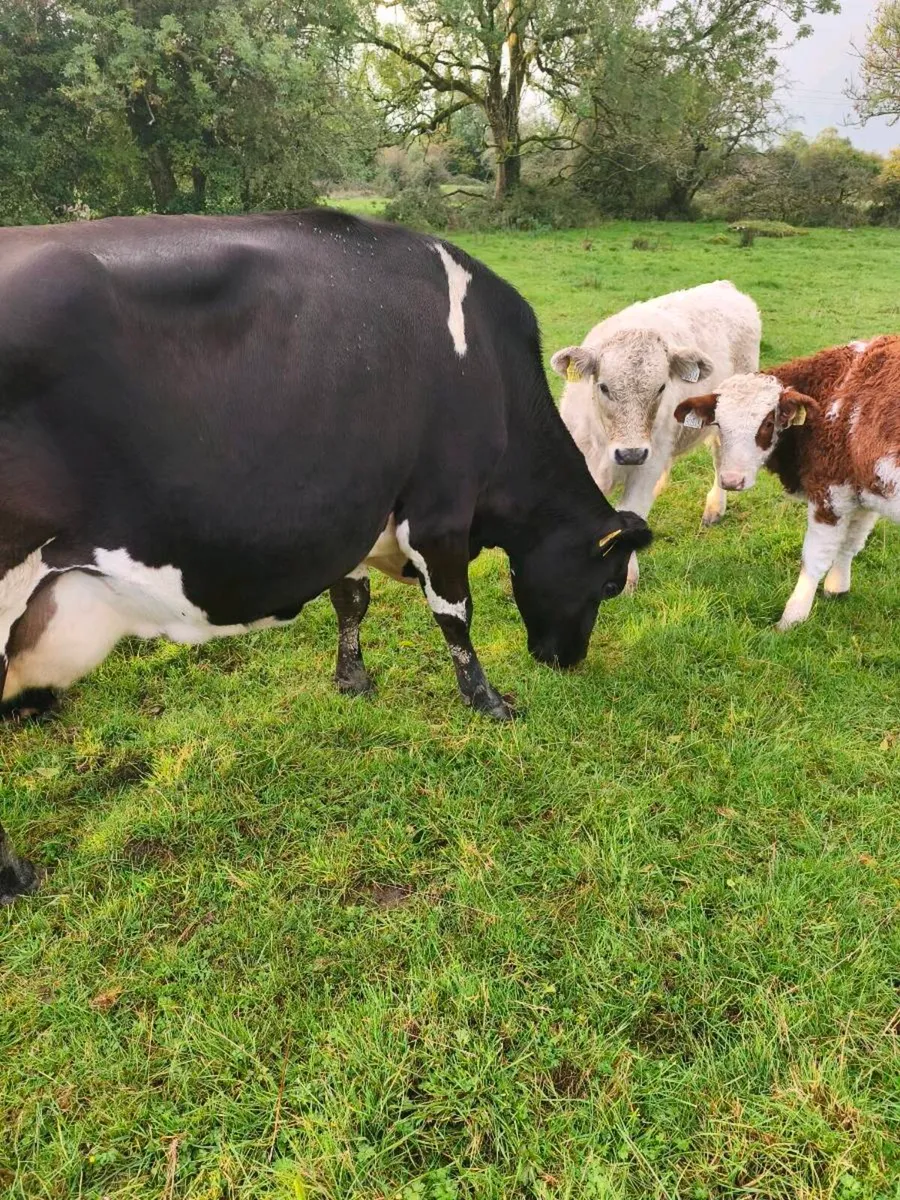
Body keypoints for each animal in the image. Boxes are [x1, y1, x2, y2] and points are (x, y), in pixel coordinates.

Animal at [0, 209, 651, 901]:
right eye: (610, 585)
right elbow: (455, 613)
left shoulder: (356, 511)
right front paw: (488, 701)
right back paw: (14, 874)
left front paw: (352, 679)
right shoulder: (442, 507)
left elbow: (351, 599)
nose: (565, 660)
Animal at [551, 281, 761, 590]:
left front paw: (627, 580)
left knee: (720, 456)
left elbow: (631, 512)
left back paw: (714, 507)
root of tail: (724, 286)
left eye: (661, 387)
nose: (631, 453)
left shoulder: (645, 467)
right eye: (604, 387)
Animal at [672, 336, 900, 631]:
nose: (731, 480)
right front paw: (837, 588)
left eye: (769, 423)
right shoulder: (861, 493)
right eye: (719, 424)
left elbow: (814, 558)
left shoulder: (830, 492)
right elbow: (851, 544)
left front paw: (793, 616)